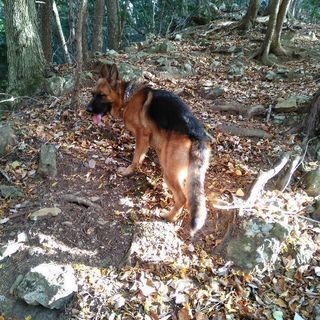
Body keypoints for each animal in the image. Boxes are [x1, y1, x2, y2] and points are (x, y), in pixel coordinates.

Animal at [86, 63, 210, 236]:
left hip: (169, 170)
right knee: (188, 195)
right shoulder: (154, 144)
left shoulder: (142, 135)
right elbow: (142, 157)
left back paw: (169, 216)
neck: (127, 97)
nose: (87, 109)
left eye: (102, 95)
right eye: (93, 94)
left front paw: (128, 171)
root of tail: (196, 134)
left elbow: (136, 157)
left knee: (183, 197)